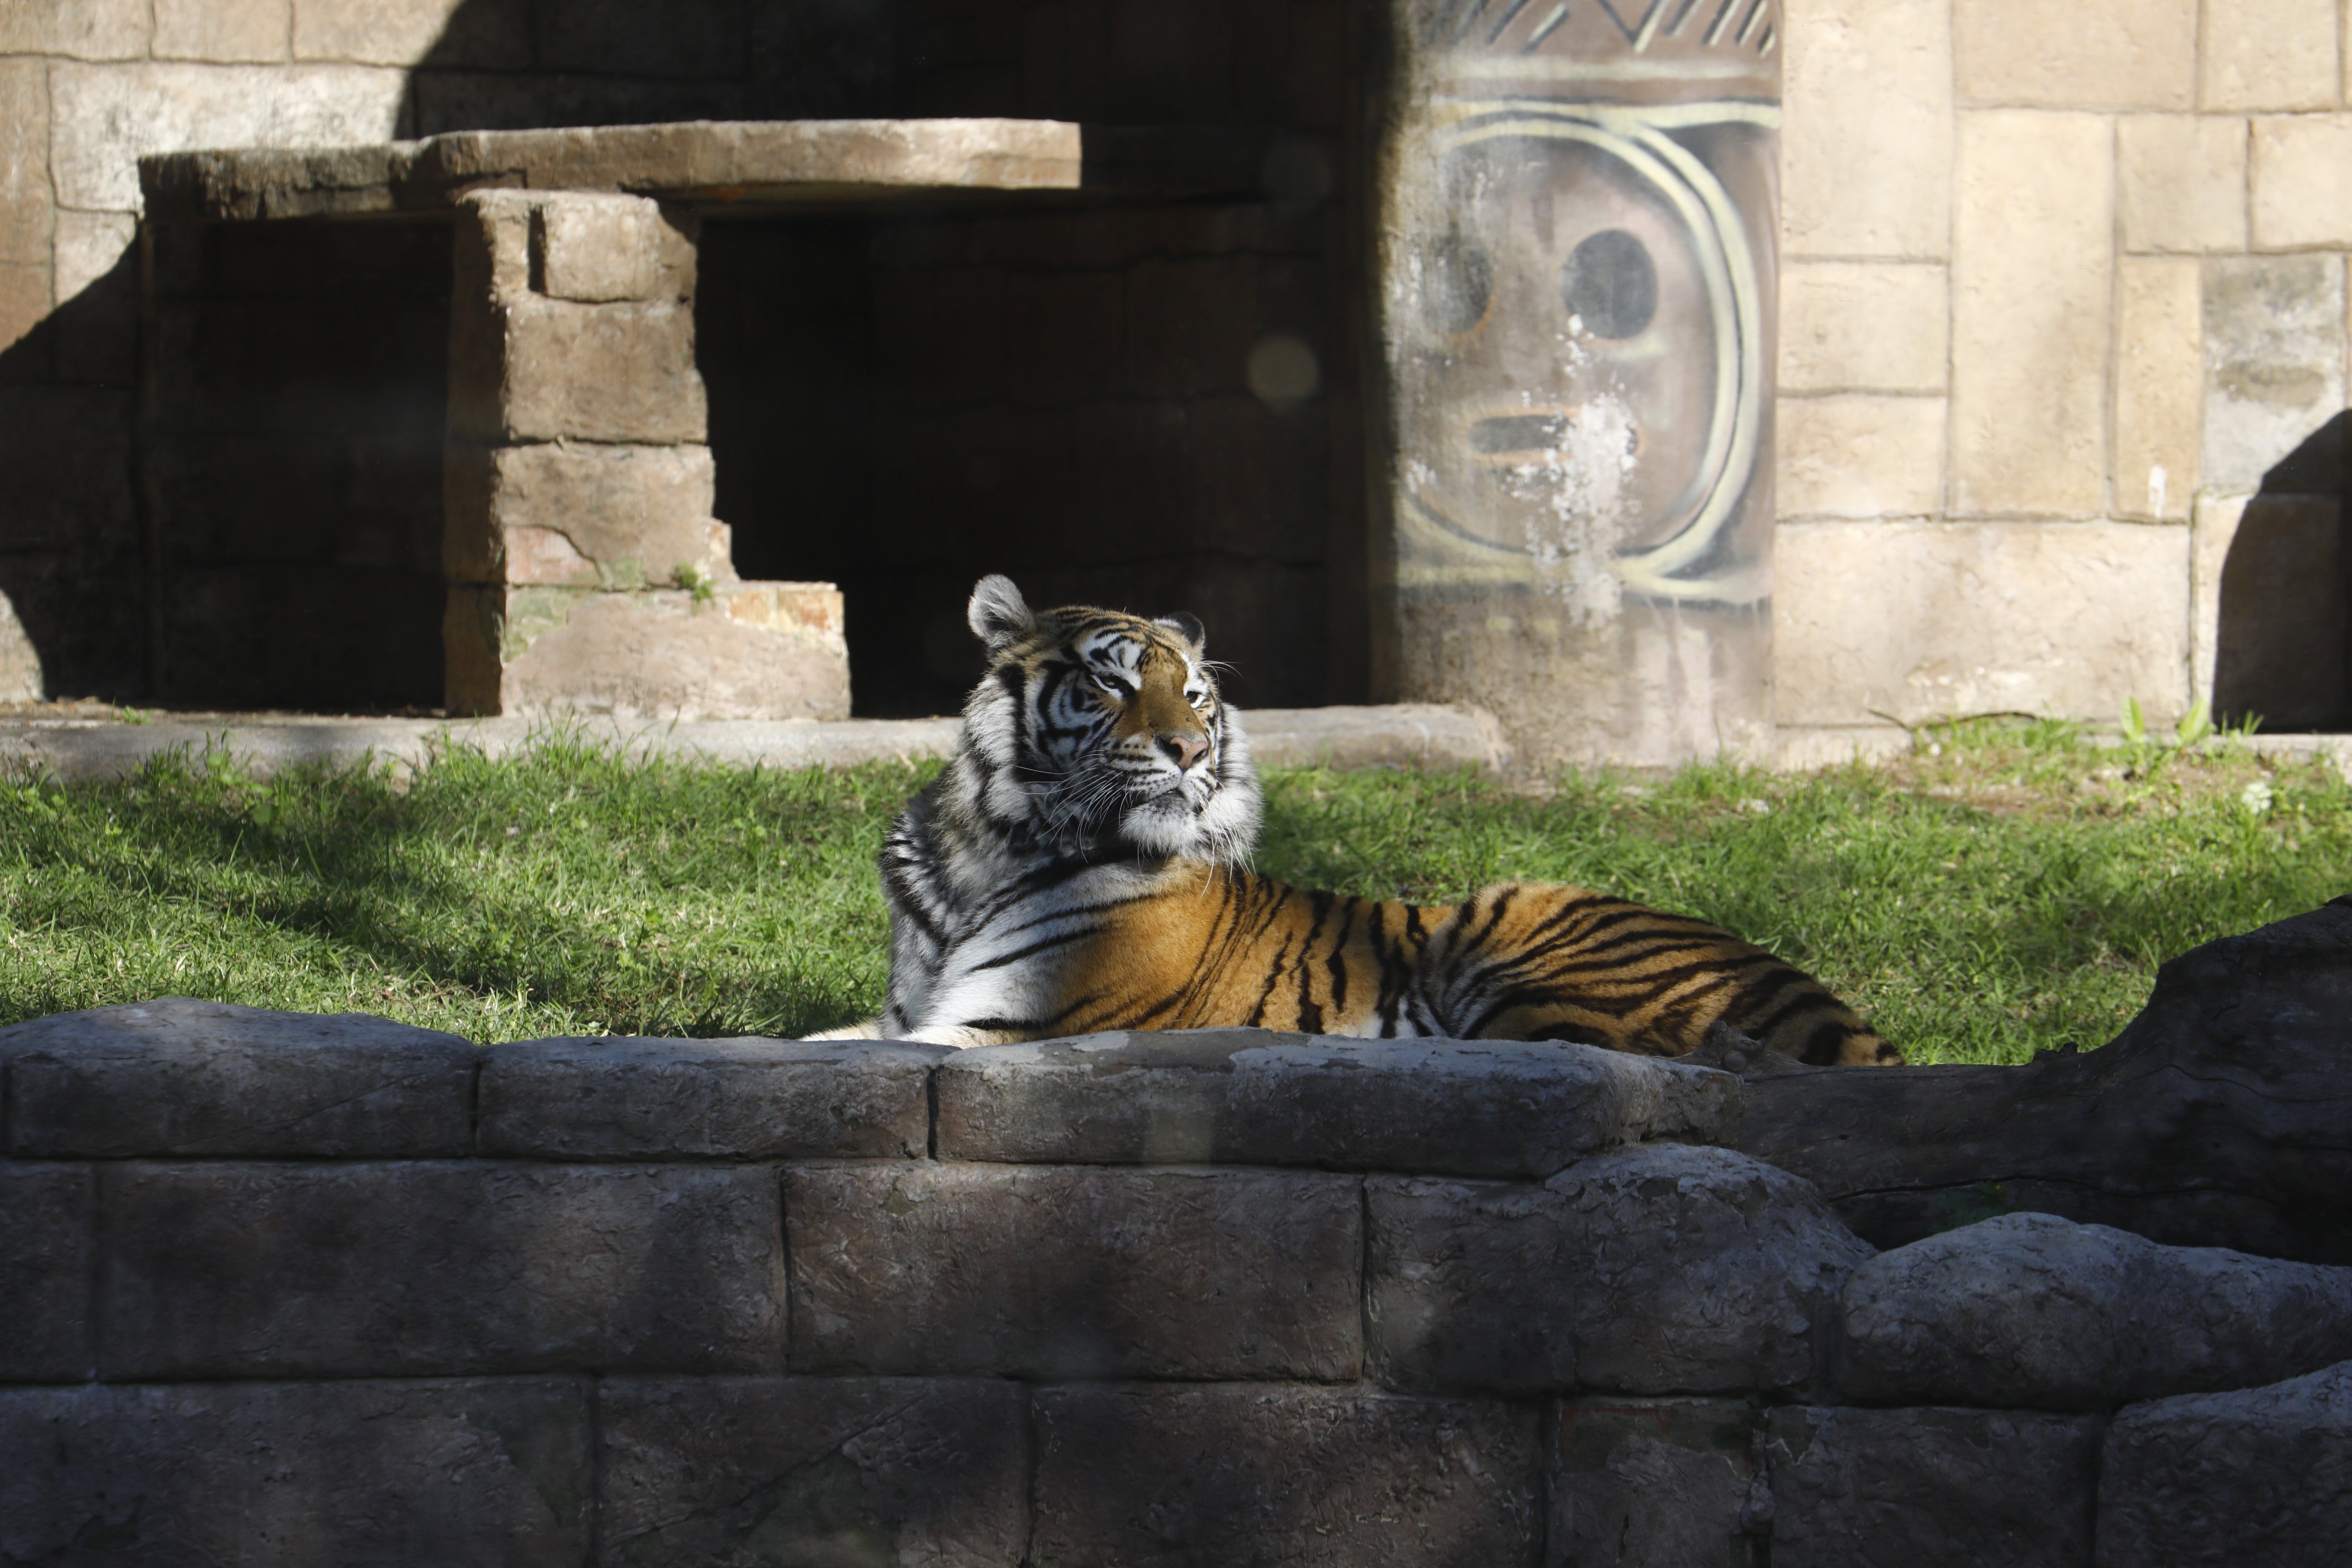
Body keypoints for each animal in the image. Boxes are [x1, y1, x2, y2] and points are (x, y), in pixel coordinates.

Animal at [809, 576, 1891, 1067]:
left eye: (1194, 696)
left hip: (1520, 946)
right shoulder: (905, 1014)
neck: (985, 846)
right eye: (1111, 682)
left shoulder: (1005, 1025)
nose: (1189, 751)